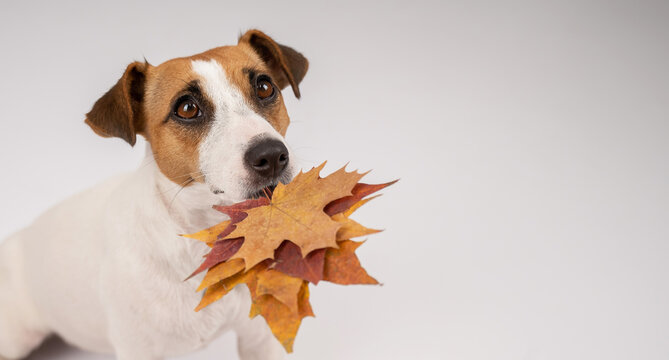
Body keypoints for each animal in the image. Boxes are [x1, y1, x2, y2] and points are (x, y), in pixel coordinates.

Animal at [0, 29, 308, 358]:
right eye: (187, 108)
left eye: (264, 87)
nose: (272, 155)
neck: (205, 234)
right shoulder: (139, 348)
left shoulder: (261, 336)